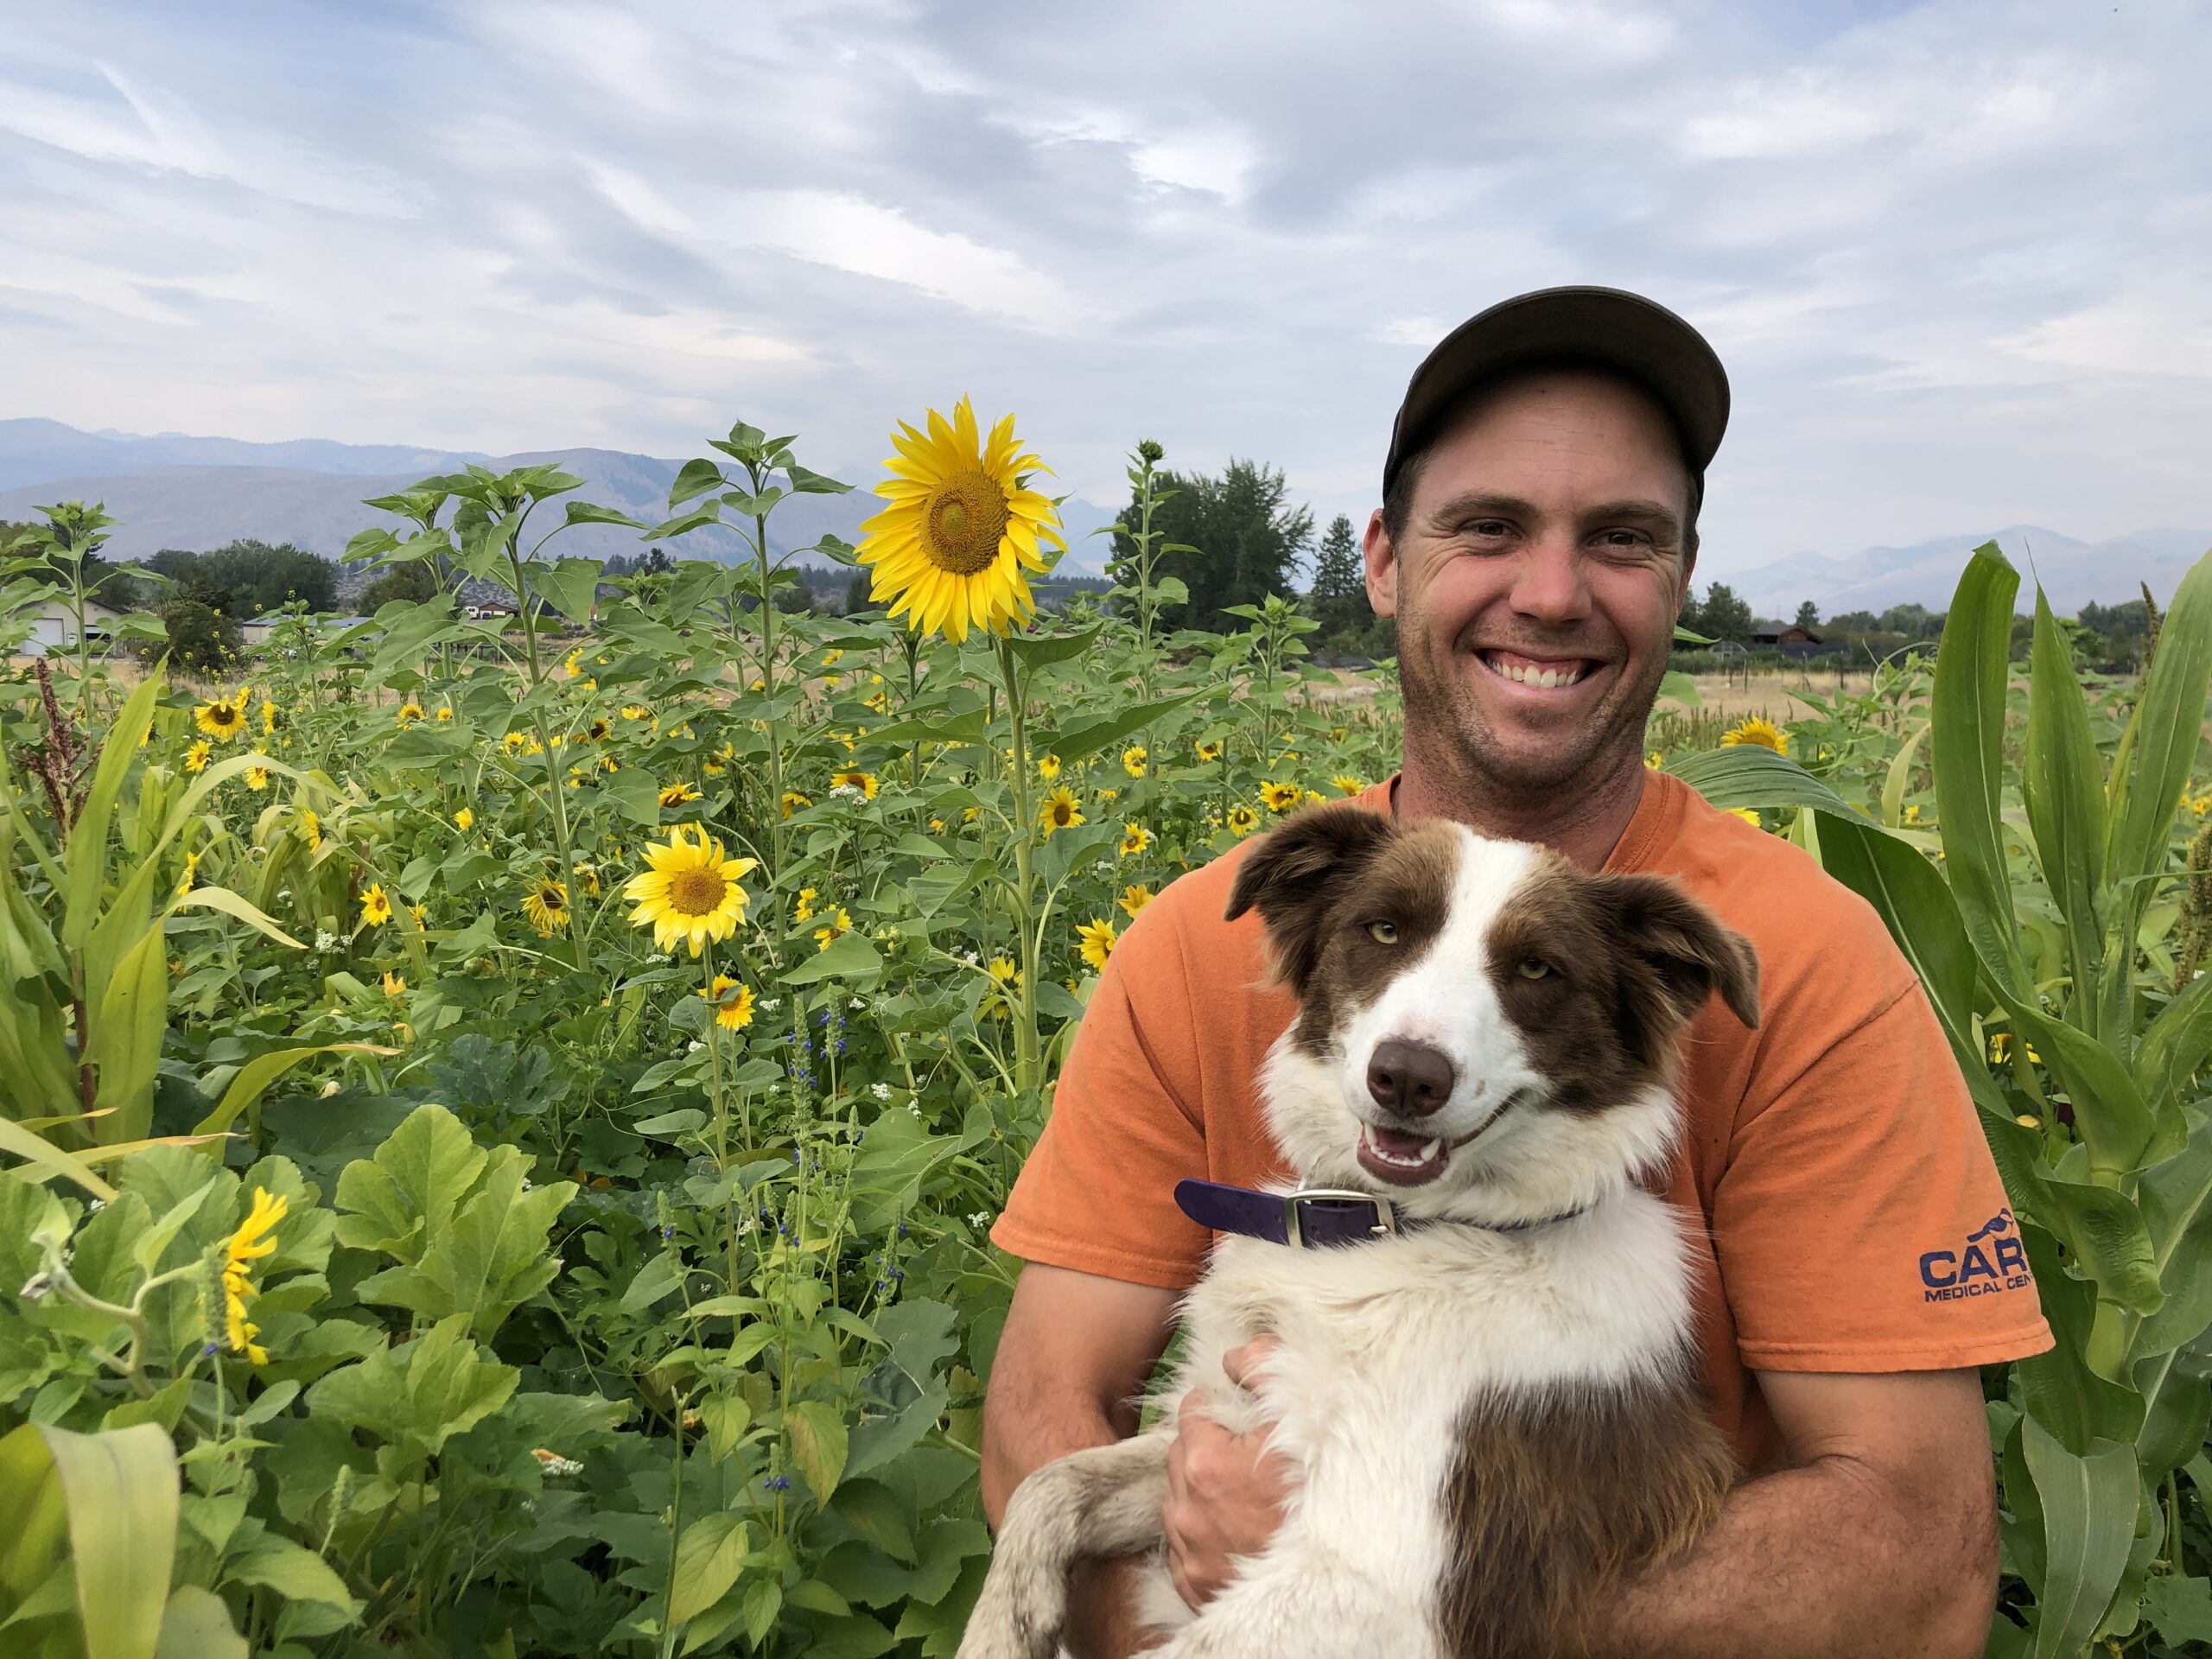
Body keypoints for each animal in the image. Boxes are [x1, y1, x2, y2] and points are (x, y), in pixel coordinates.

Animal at [964, 800, 1760, 1654]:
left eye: (1537, 970)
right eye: (1383, 930)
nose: (1408, 1077)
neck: (1397, 1230)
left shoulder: (1384, 1578)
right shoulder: (1219, 1423)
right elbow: (1053, 1481)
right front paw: (1001, 1629)